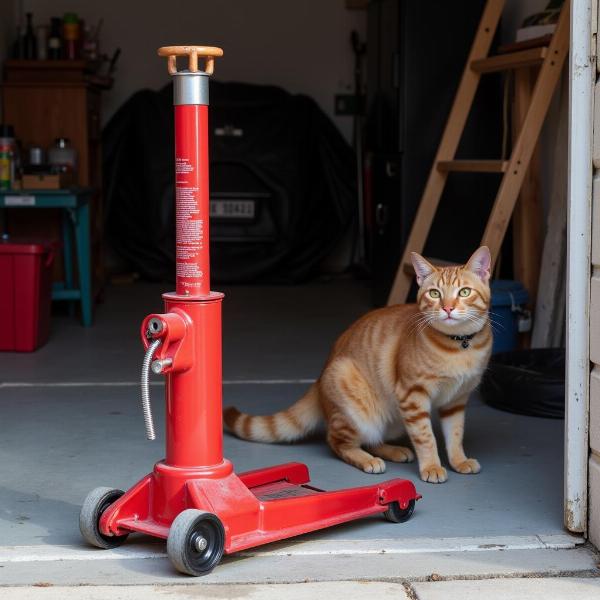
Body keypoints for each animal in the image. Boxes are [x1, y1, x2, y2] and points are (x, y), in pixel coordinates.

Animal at [225, 245, 492, 482]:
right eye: (435, 293)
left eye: (464, 292)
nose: (447, 308)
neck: (460, 345)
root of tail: (320, 377)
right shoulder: (412, 396)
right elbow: (426, 437)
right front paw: (432, 467)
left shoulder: (456, 400)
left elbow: (455, 434)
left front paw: (458, 460)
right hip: (354, 404)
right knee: (338, 441)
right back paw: (367, 460)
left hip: (393, 420)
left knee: (372, 439)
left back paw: (393, 450)